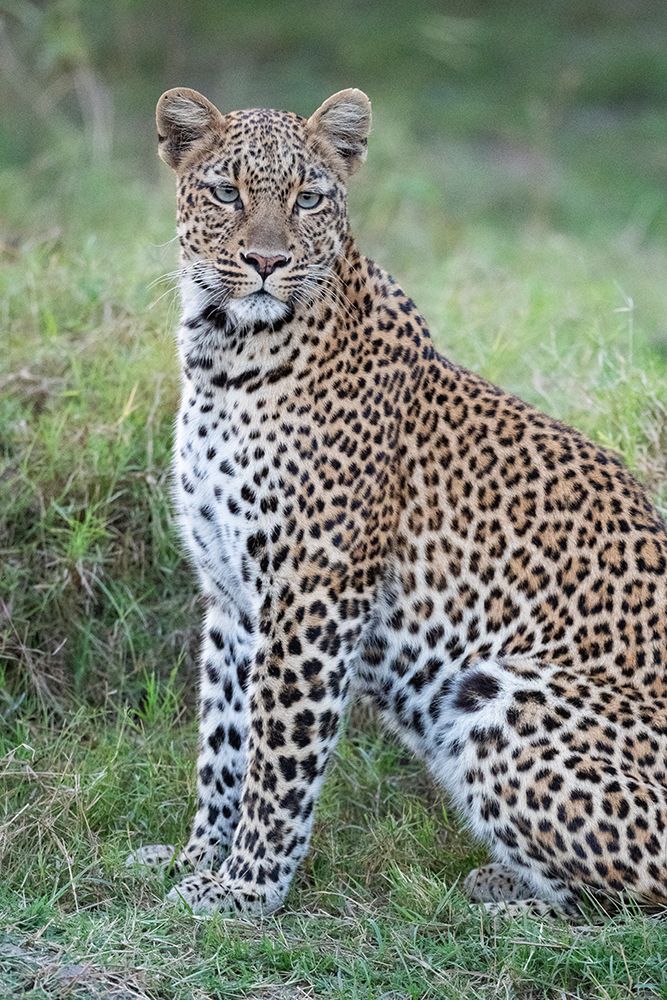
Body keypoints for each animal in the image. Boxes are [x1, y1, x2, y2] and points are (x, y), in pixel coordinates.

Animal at [126, 85, 667, 918]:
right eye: (226, 192)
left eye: (308, 198)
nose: (265, 263)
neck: (222, 352)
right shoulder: (230, 597)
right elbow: (221, 744)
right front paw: (193, 860)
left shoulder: (314, 593)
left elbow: (278, 757)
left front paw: (243, 888)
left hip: (498, 691)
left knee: (633, 896)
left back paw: (504, 909)